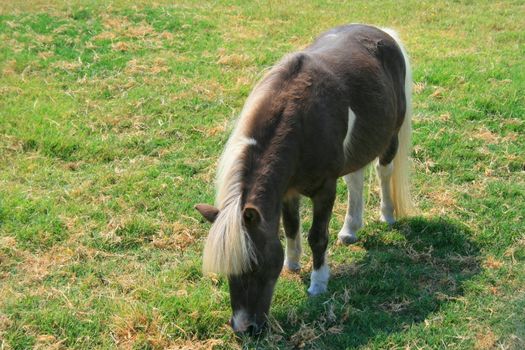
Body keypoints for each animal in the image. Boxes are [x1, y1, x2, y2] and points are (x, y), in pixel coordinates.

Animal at [194, 24, 412, 334]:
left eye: (255, 265)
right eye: (228, 271)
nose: (244, 328)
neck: (300, 123)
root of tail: (383, 32)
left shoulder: (324, 190)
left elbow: (317, 236)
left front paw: (318, 284)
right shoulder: (287, 191)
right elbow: (291, 228)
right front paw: (292, 263)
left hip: (390, 137)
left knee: (384, 172)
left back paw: (388, 215)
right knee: (355, 179)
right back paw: (350, 230)